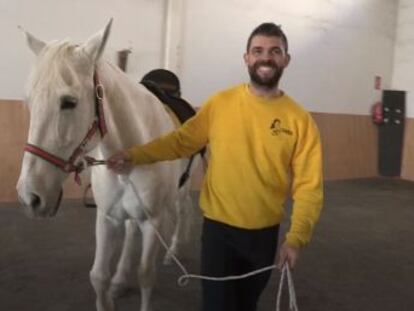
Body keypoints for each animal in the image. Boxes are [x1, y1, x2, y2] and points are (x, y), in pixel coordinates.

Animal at [17, 20, 195, 311]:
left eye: (69, 102)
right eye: (29, 102)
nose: (29, 196)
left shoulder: (153, 221)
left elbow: (146, 275)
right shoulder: (107, 217)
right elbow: (99, 275)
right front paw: (112, 284)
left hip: (183, 188)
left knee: (184, 211)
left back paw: (173, 251)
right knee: (132, 230)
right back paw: (121, 279)